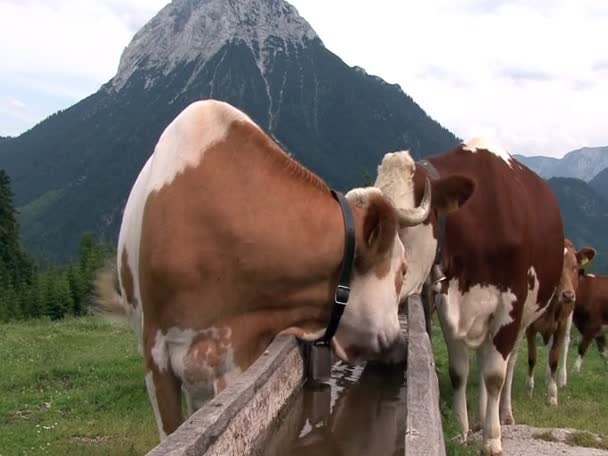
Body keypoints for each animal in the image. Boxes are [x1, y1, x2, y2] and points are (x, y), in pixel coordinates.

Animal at [376, 137, 564, 454]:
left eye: (399, 228)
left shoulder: (510, 307)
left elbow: (495, 376)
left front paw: (492, 439)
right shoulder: (447, 302)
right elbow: (459, 372)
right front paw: (461, 430)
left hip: (525, 317)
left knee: (508, 364)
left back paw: (503, 413)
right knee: (483, 359)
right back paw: (480, 416)